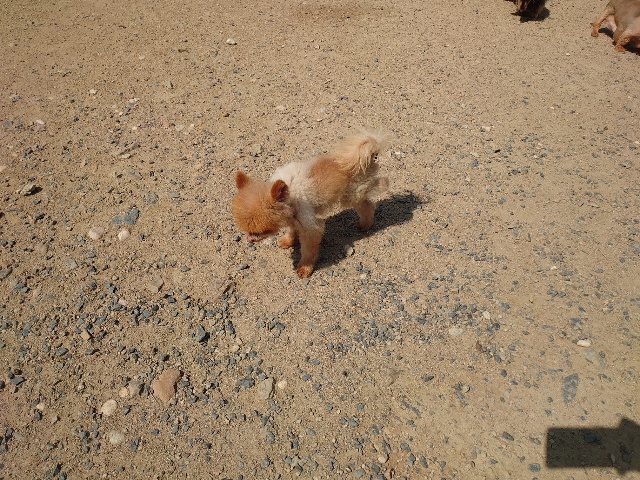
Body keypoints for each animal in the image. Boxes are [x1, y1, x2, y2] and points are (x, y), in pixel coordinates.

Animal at [232, 131, 389, 278]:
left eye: (262, 230)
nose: (249, 239)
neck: (290, 194)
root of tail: (366, 153)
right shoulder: (294, 218)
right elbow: (292, 230)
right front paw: (288, 241)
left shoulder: (311, 227)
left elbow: (308, 250)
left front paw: (304, 268)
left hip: (352, 195)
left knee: (368, 204)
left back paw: (365, 224)